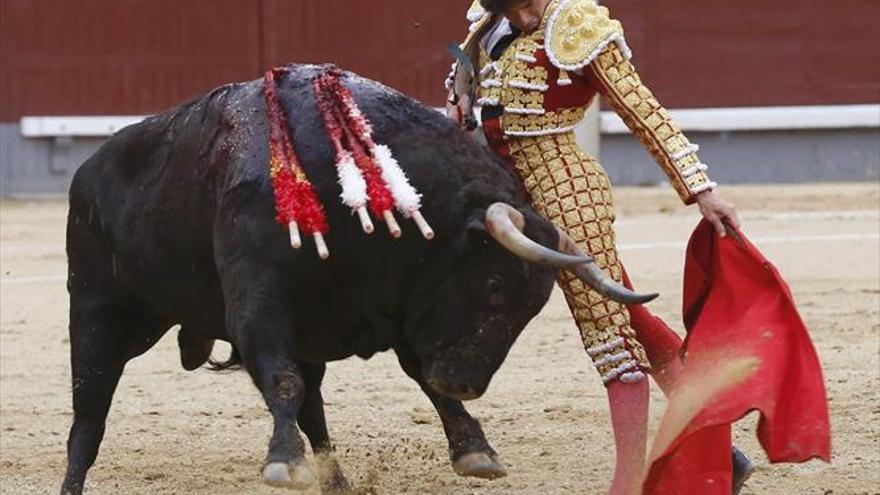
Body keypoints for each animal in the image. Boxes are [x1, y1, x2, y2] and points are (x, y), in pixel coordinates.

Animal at [62, 66, 652, 495]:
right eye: (492, 288)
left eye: (532, 310)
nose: (465, 383)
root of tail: (87, 170)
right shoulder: (258, 301)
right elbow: (281, 379)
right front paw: (283, 464)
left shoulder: (402, 307)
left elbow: (412, 378)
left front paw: (474, 449)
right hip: (98, 312)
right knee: (89, 414)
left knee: (315, 410)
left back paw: (337, 481)